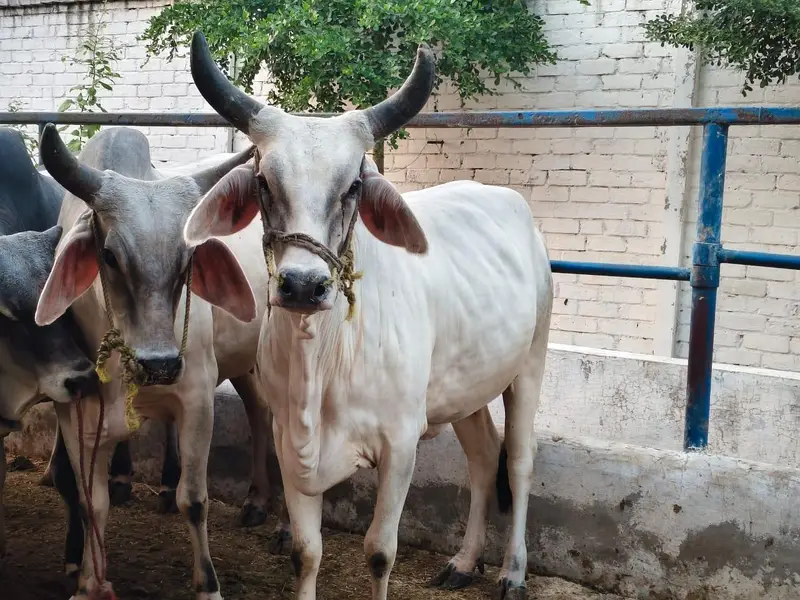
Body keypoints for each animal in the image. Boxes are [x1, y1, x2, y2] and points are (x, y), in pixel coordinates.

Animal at [34, 125, 288, 600]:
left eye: (189, 257)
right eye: (109, 256)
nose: (161, 364)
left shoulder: (198, 400)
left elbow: (195, 500)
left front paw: (208, 584)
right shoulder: (74, 414)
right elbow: (91, 503)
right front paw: (88, 583)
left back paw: (279, 523)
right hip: (242, 364)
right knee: (257, 410)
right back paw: (247, 499)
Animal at [182, 31, 554, 600]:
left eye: (354, 185)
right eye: (264, 180)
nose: (303, 285)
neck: (322, 359)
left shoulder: (400, 445)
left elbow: (380, 553)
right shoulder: (288, 440)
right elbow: (305, 551)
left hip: (530, 365)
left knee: (518, 459)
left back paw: (512, 573)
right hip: (466, 389)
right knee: (483, 457)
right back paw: (464, 562)